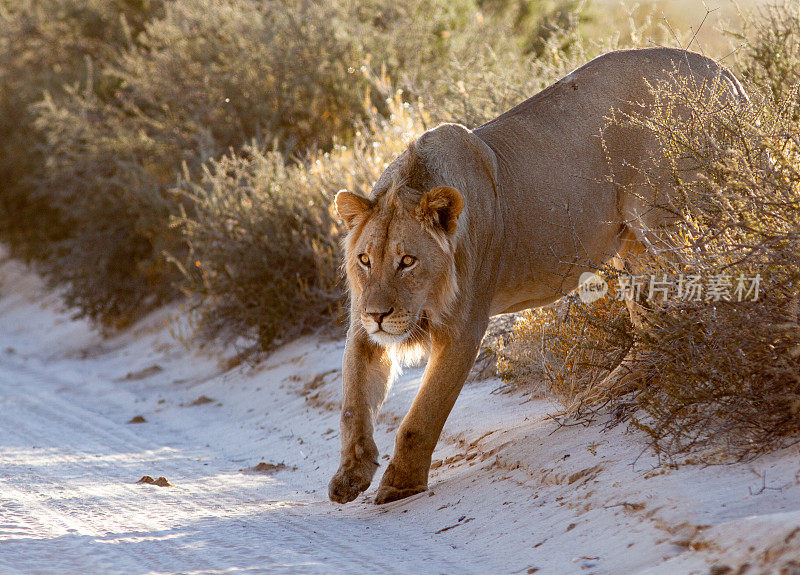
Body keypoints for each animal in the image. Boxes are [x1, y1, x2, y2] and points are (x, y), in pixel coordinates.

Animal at [328, 47, 748, 504]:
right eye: (365, 260)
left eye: (407, 261)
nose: (379, 315)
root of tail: (723, 71)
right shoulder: (360, 327)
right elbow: (352, 403)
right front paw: (349, 475)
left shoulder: (464, 326)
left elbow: (423, 414)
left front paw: (399, 485)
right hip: (633, 246)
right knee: (650, 326)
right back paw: (601, 394)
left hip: (671, 224)